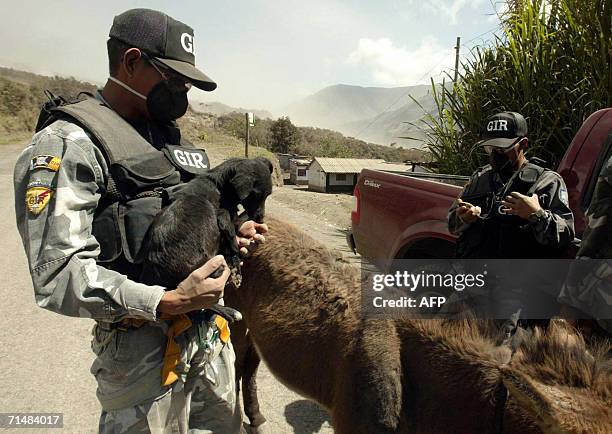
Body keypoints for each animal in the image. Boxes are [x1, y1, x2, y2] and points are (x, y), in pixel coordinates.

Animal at [140, 157, 274, 292]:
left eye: (267, 195)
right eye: (256, 196)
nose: (260, 220)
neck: (219, 186)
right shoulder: (227, 220)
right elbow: (235, 236)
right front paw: (236, 269)